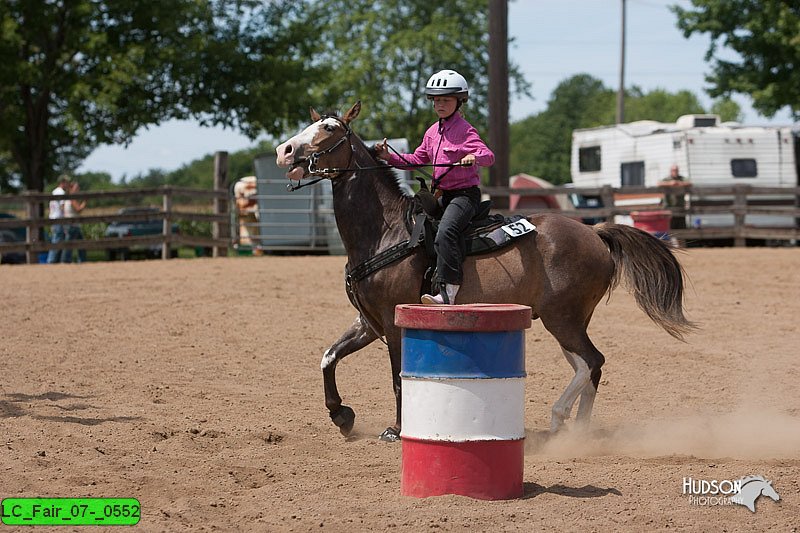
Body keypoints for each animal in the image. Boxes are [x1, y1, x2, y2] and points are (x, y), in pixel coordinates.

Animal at [276, 100, 692, 440]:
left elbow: (397, 378)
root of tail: (595, 233)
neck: (386, 229)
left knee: (593, 362)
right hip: (566, 320)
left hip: (564, 318)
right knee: (585, 367)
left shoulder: (393, 321)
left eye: (330, 129)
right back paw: (573, 427)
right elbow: (328, 357)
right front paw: (341, 415)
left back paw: (564, 420)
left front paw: (395, 429)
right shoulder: (367, 321)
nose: (284, 150)